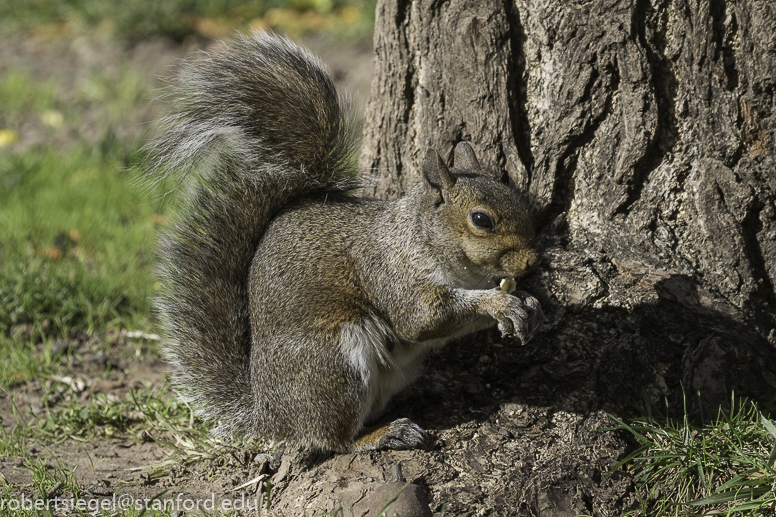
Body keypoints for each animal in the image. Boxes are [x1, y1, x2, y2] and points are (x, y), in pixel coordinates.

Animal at [149, 31, 544, 453]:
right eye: (481, 220)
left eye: (516, 196)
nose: (533, 261)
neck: (423, 240)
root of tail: (269, 413)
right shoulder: (391, 271)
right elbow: (422, 318)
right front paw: (499, 302)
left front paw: (528, 304)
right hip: (333, 364)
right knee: (333, 438)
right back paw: (384, 433)